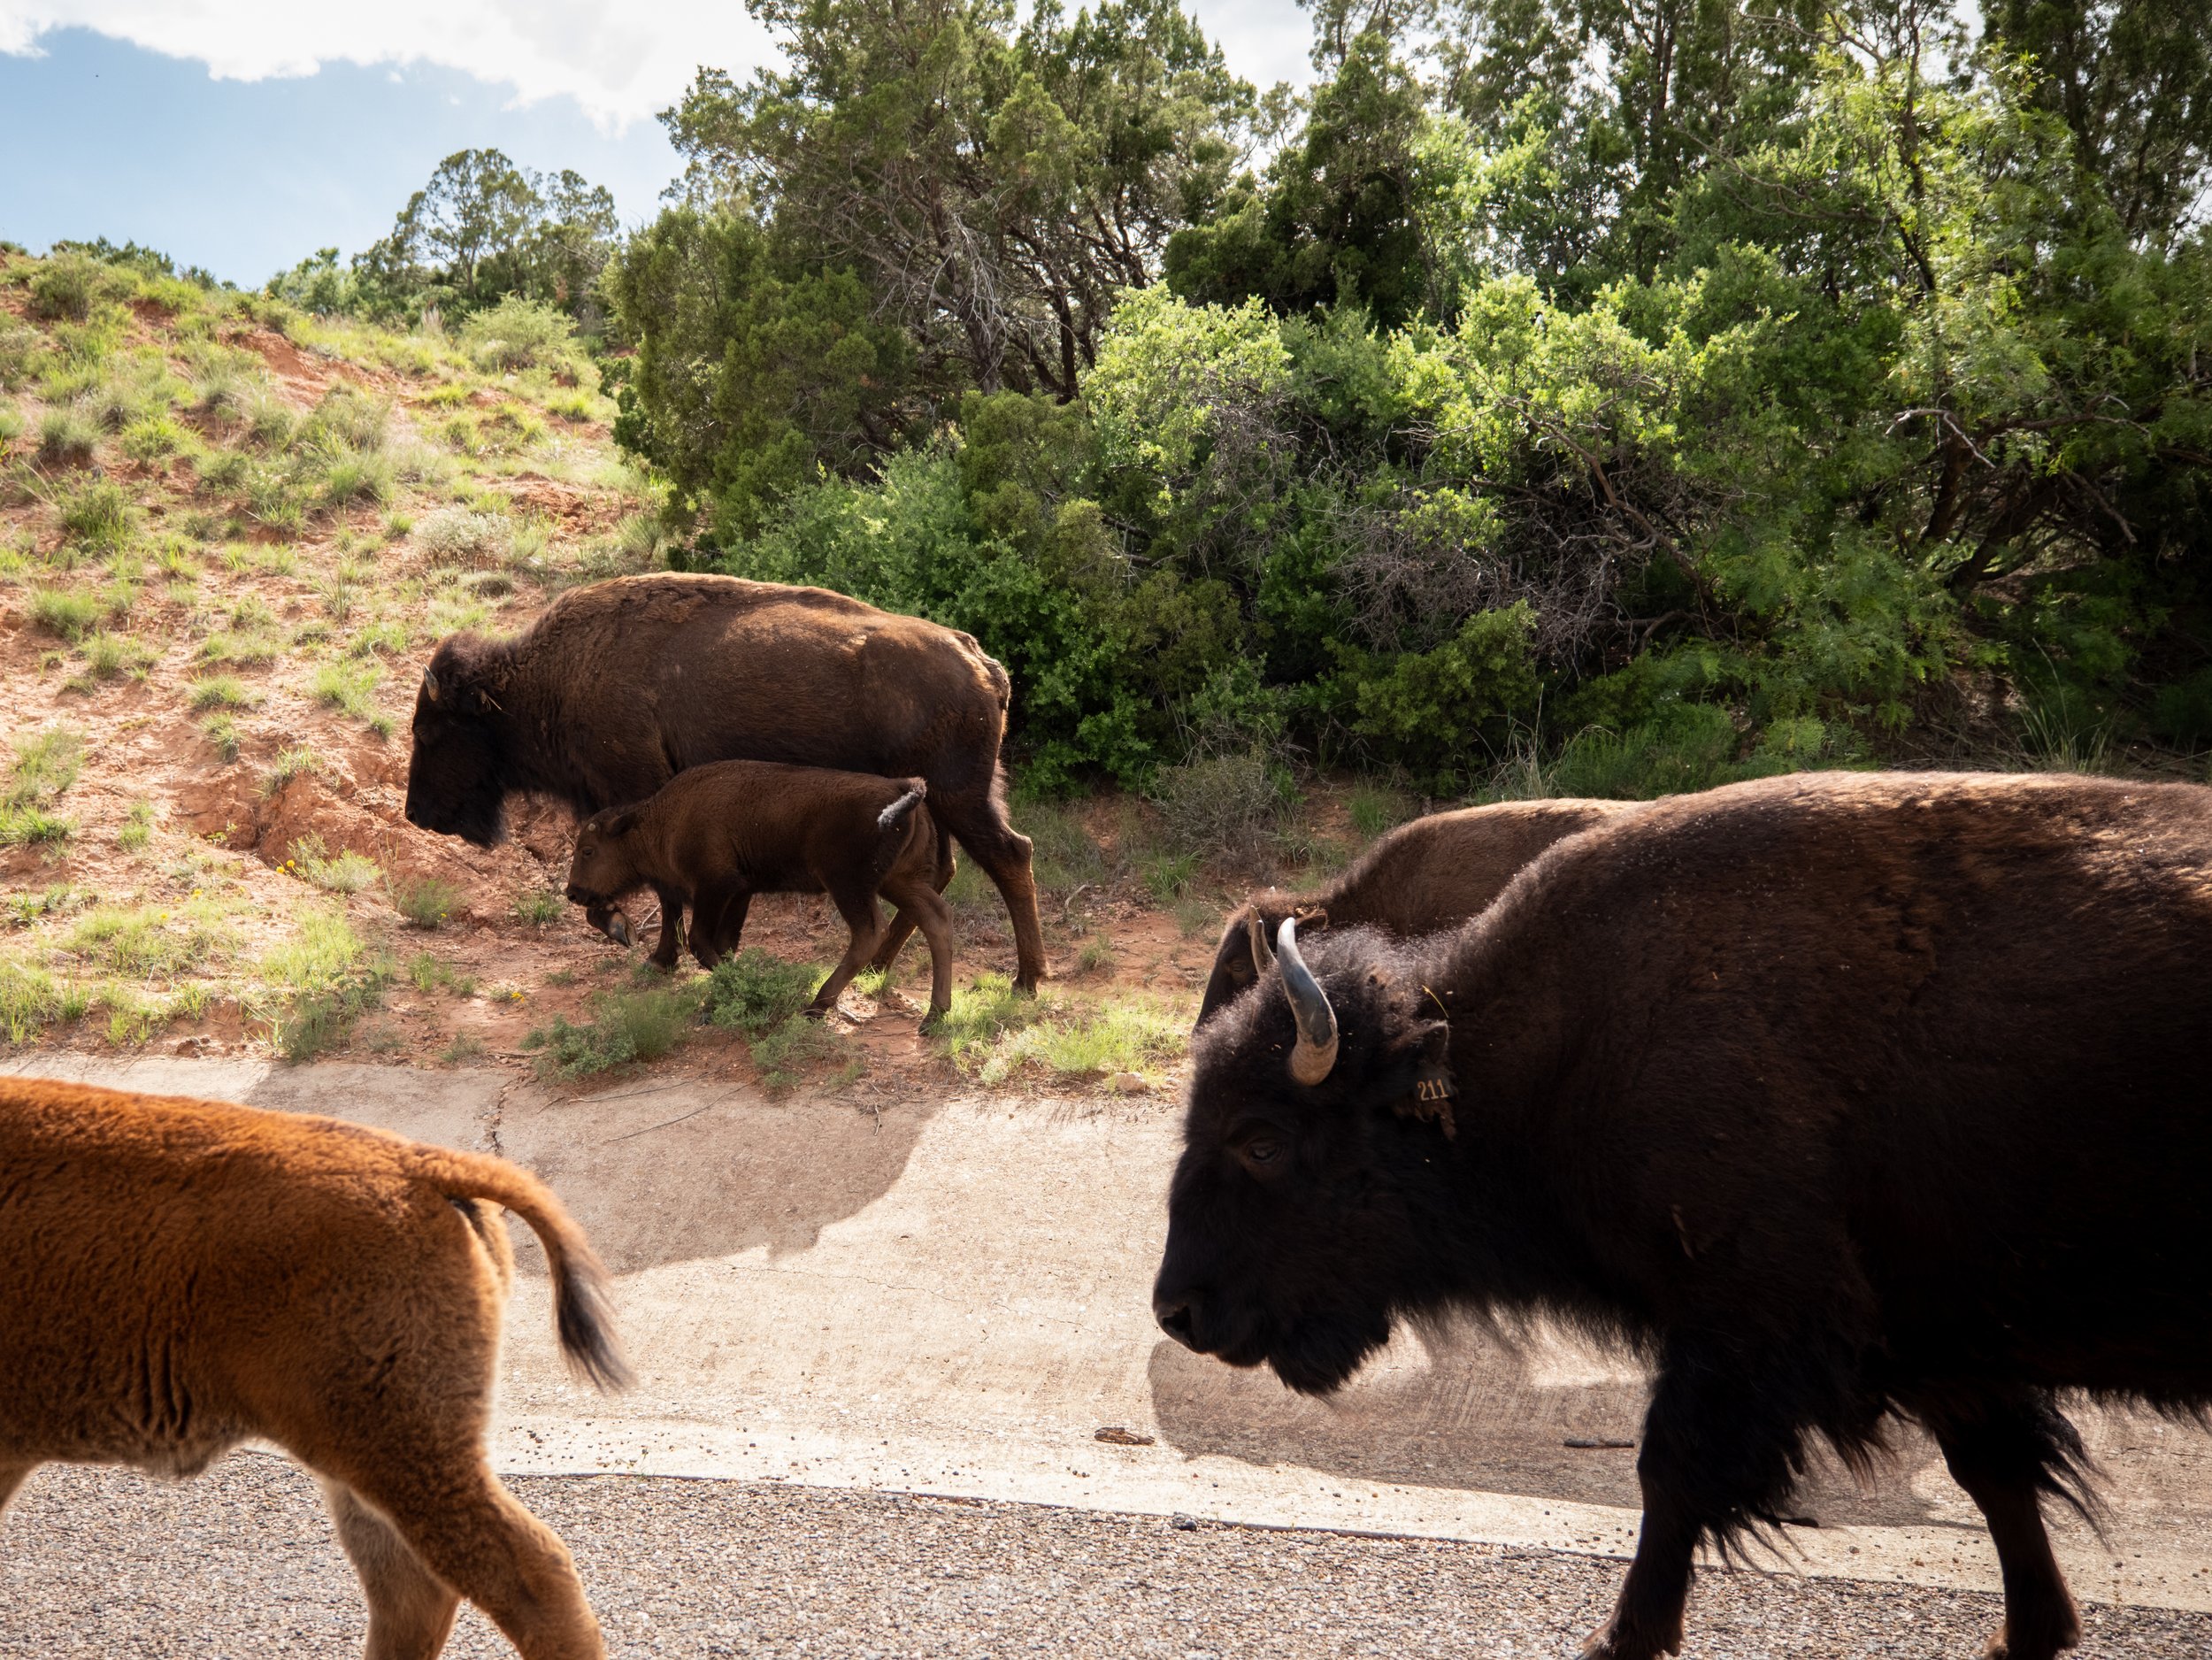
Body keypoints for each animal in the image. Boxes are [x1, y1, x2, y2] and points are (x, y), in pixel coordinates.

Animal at [404, 574, 1044, 990]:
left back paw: (1027, 980)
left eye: (432, 731)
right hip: (937, 806)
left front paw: (644, 948)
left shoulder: (637, 797)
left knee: (1010, 857)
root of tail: (981, 662)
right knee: (945, 874)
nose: (416, 813)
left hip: (962, 796)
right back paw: (882, 969)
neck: (553, 680)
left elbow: (662, 889)